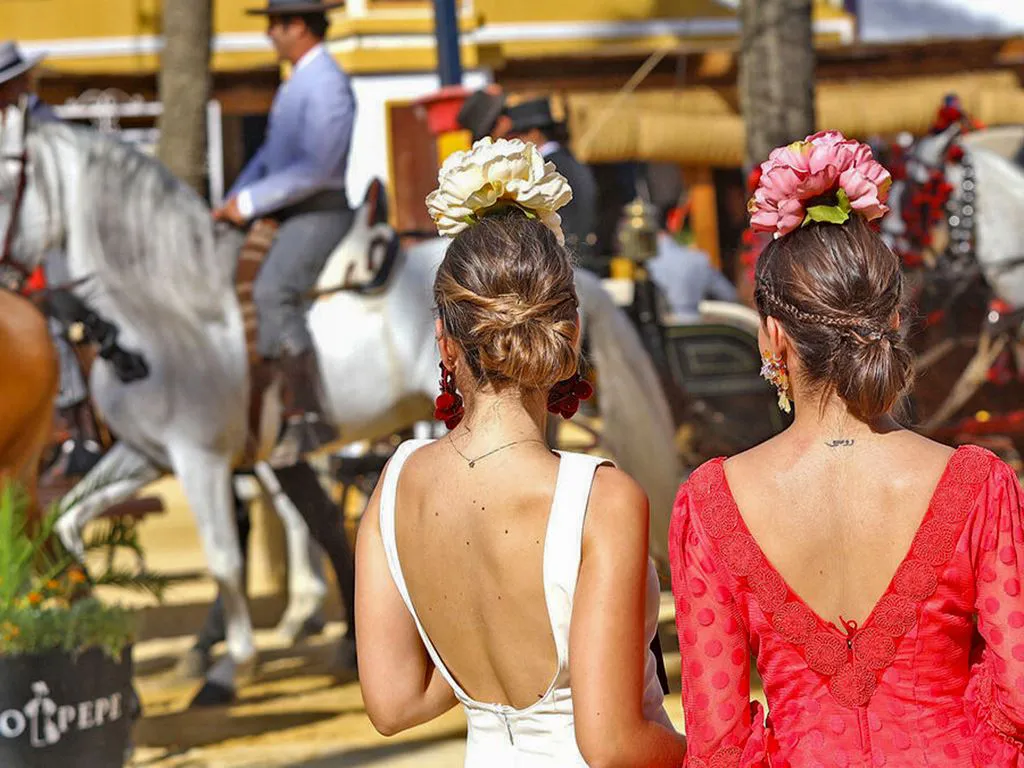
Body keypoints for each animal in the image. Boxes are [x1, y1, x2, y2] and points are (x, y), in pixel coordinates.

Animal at [0, 105, 684, 708]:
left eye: (8, 179)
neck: (171, 315)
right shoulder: (146, 454)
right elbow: (68, 519)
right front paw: (91, 623)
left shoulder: (201, 459)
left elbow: (225, 559)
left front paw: (229, 667)